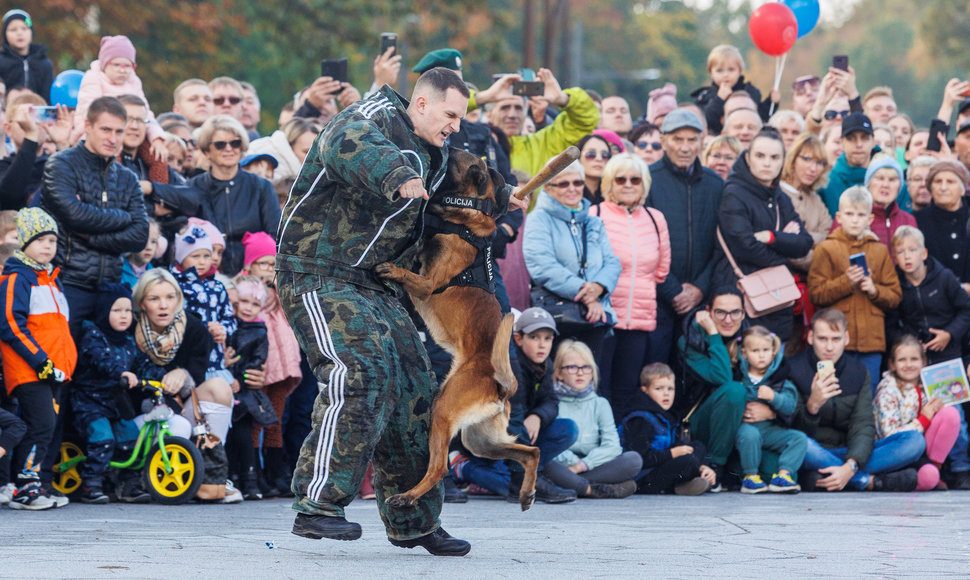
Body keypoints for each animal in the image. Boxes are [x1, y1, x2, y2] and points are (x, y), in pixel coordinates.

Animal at [374, 148, 536, 508]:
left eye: (457, 156)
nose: (443, 147)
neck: (467, 214)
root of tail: (501, 385)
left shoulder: (426, 284)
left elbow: (412, 273)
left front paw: (391, 269)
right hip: (481, 440)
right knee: (531, 451)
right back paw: (526, 493)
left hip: (444, 411)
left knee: (439, 469)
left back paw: (407, 496)